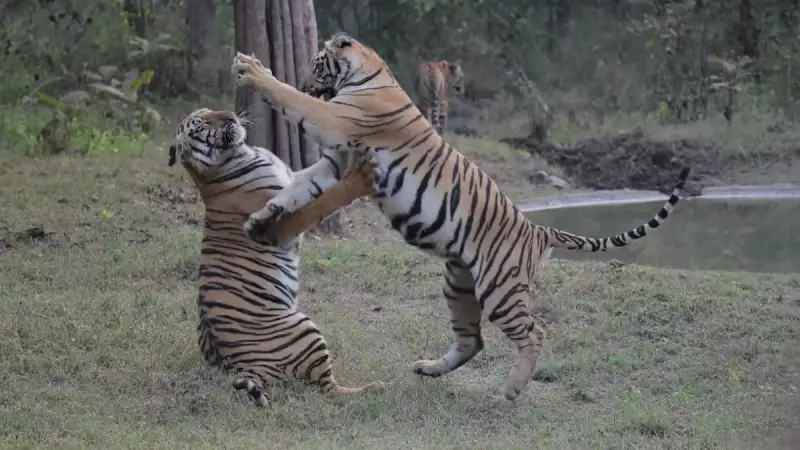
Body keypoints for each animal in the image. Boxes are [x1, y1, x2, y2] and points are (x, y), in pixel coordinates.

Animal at [168, 107, 384, 406]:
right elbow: (323, 203)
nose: (229, 116)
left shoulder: (294, 176)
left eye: (208, 111)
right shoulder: (277, 226)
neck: (242, 153)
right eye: (201, 126)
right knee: (327, 389)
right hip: (304, 328)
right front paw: (360, 177)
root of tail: (241, 366)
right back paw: (374, 388)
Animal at [230, 33, 690, 402]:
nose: (308, 81)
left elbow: (293, 102)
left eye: (315, 63)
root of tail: (537, 230)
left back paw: (511, 390)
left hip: (499, 288)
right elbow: (298, 187)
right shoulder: (335, 163)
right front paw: (261, 217)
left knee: (534, 332)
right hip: (458, 281)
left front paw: (254, 71)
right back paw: (428, 369)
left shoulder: (334, 121)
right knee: (472, 341)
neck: (369, 72)